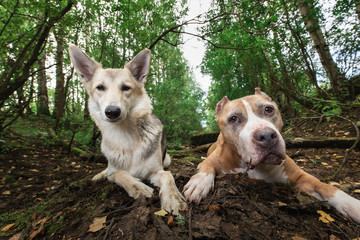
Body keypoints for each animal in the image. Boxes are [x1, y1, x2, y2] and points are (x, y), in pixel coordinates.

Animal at [68, 46, 186, 215]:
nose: (112, 111)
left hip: (167, 159)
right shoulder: (114, 172)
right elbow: (119, 173)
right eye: (100, 87)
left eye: (125, 88)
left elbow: (168, 176)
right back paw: (99, 175)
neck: (125, 135)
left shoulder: (155, 171)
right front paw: (138, 187)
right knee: (108, 170)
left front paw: (173, 198)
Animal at [184, 88, 360, 223]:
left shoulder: (301, 177)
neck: (253, 166)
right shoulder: (211, 162)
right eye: (233, 118)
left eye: (268, 109)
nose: (266, 136)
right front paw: (198, 183)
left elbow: (327, 187)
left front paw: (353, 205)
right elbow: (206, 168)